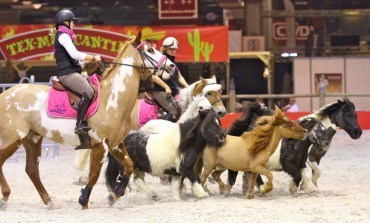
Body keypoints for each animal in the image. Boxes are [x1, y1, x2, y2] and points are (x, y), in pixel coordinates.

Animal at [0, 30, 176, 209]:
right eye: (150, 50)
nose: (171, 66)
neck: (112, 98)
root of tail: (5, 94)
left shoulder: (115, 144)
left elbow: (129, 165)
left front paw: (116, 194)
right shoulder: (100, 145)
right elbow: (94, 174)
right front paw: (84, 200)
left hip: (32, 139)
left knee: (31, 170)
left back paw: (48, 201)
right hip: (13, 139)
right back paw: (5, 197)